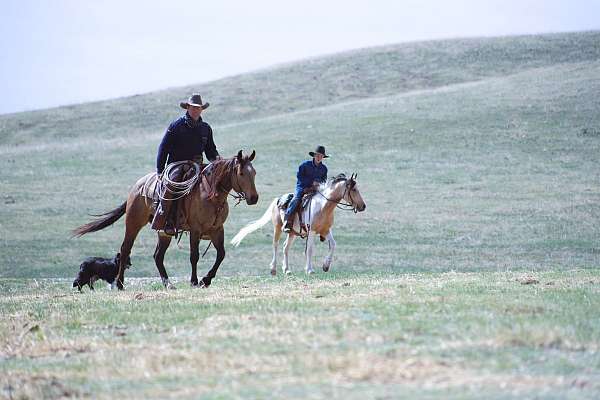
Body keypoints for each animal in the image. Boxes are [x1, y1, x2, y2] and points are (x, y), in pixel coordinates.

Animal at [72, 152, 258, 290]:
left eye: (254, 173)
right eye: (241, 173)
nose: (254, 198)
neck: (210, 195)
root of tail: (137, 186)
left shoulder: (217, 229)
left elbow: (221, 254)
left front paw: (206, 280)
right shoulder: (196, 230)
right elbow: (194, 256)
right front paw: (194, 281)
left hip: (164, 232)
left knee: (158, 256)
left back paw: (168, 284)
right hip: (133, 223)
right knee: (125, 250)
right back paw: (120, 284)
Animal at [231, 173, 364, 276]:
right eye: (354, 189)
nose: (363, 206)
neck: (323, 206)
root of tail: (277, 200)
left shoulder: (326, 230)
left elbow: (333, 245)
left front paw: (325, 266)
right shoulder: (312, 231)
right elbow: (310, 249)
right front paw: (309, 270)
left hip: (292, 233)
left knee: (285, 247)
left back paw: (287, 270)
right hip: (277, 228)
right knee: (275, 245)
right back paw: (273, 269)